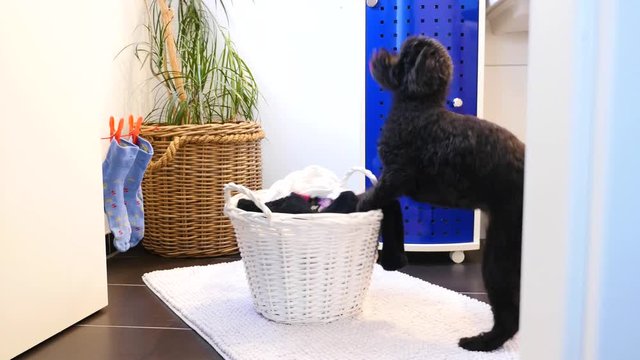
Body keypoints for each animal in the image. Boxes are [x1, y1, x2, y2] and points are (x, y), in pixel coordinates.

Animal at [360, 36, 524, 352]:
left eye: (403, 57)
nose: (379, 54)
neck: (419, 107)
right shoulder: (393, 181)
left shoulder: (395, 177)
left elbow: (368, 198)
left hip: (500, 253)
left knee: (509, 315)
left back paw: (480, 343)